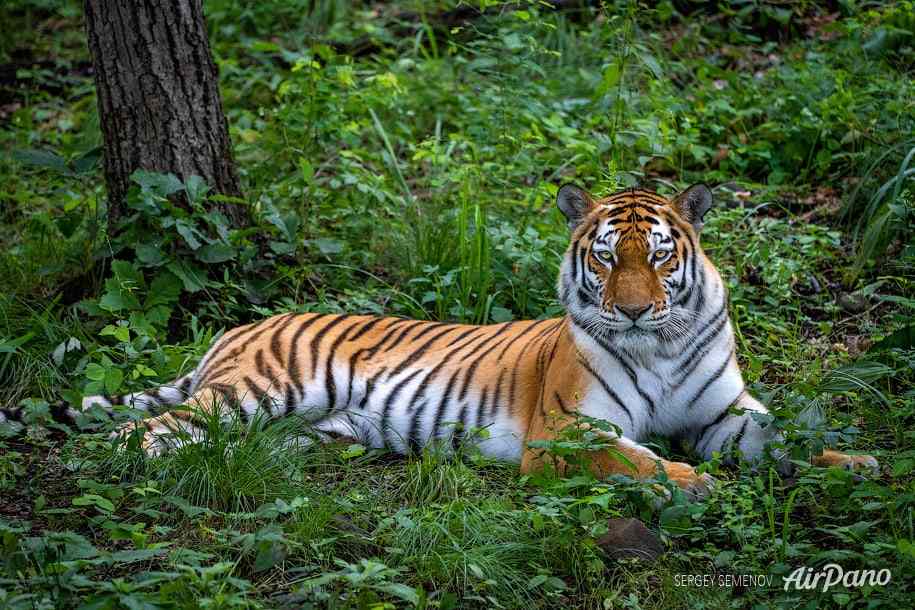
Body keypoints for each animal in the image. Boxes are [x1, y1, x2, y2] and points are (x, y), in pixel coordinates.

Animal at [5, 182, 880, 494]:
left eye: (660, 256)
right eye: (606, 256)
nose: (633, 311)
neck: (658, 348)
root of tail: (241, 325)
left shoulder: (722, 415)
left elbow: (786, 438)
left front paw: (860, 464)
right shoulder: (566, 432)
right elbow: (633, 458)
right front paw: (693, 484)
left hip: (303, 426)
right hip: (256, 391)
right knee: (149, 431)